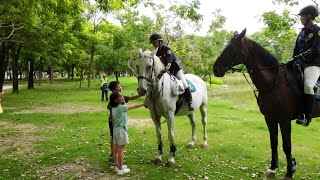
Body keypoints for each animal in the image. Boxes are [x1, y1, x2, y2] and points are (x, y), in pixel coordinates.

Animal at [212, 28, 320, 179]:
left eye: (231, 48)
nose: (215, 69)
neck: (274, 82)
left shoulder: (284, 120)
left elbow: (287, 145)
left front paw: (289, 171)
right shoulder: (269, 118)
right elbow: (273, 142)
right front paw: (273, 168)